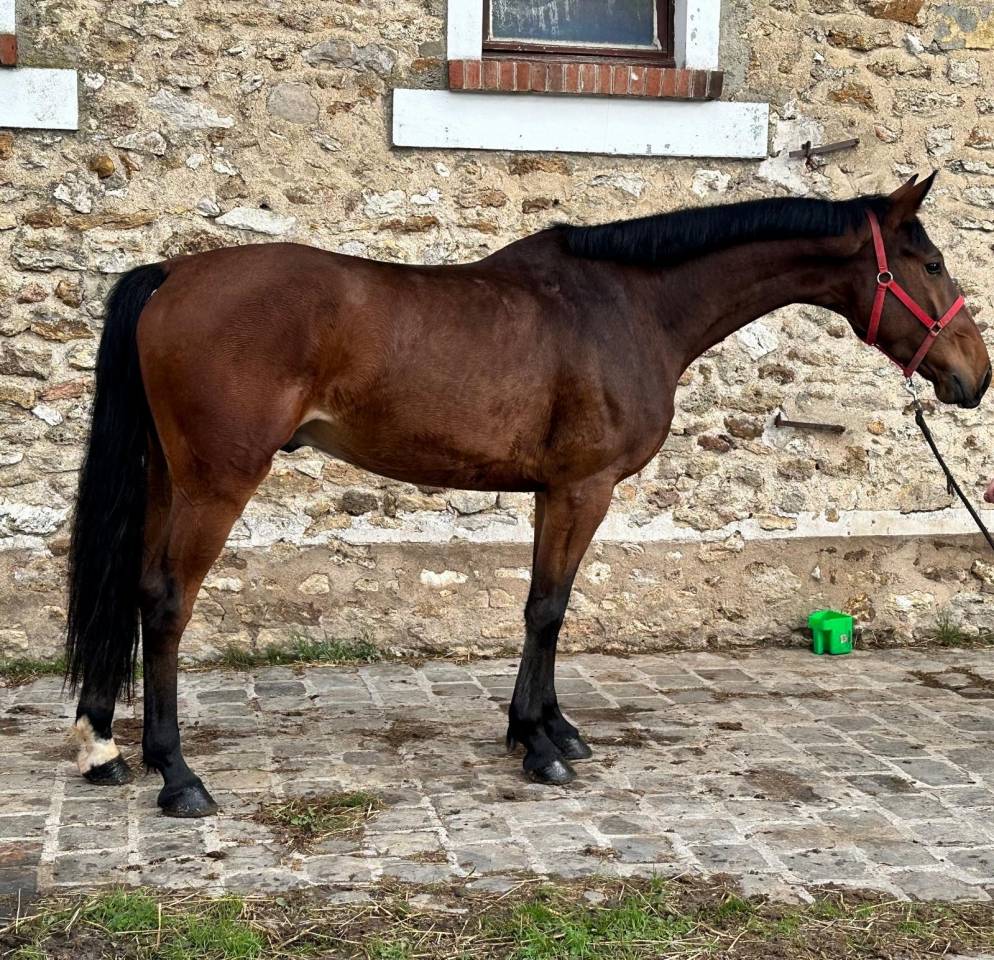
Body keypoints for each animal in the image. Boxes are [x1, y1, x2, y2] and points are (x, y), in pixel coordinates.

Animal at [64, 172, 991, 817]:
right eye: (933, 262)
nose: (973, 376)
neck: (631, 306)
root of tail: (172, 273)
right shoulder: (585, 488)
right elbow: (548, 608)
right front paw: (539, 745)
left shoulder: (554, 491)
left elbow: (547, 605)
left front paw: (545, 729)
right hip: (216, 483)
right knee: (167, 603)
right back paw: (178, 776)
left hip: (165, 476)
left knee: (129, 586)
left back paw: (103, 746)